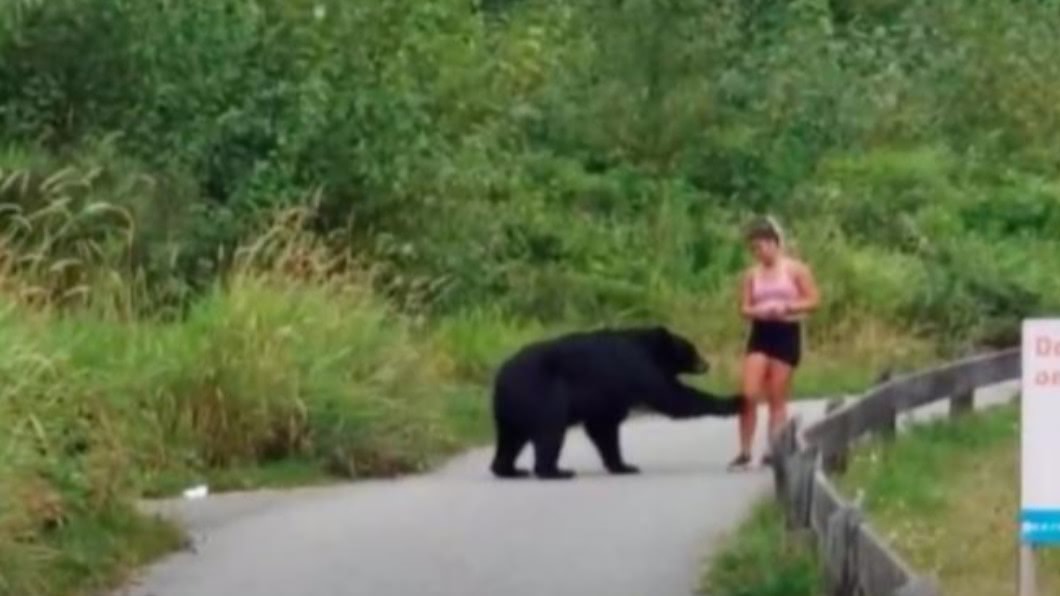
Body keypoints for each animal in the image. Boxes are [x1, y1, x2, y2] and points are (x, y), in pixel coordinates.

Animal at [489, 325, 745, 480]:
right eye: (691, 349)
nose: (707, 364)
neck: (649, 348)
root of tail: (501, 377)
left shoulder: (609, 396)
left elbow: (604, 427)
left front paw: (623, 466)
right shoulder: (638, 368)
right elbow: (673, 397)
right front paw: (734, 401)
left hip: (513, 410)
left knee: (510, 439)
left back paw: (509, 470)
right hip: (543, 394)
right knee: (550, 431)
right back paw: (555, 471)